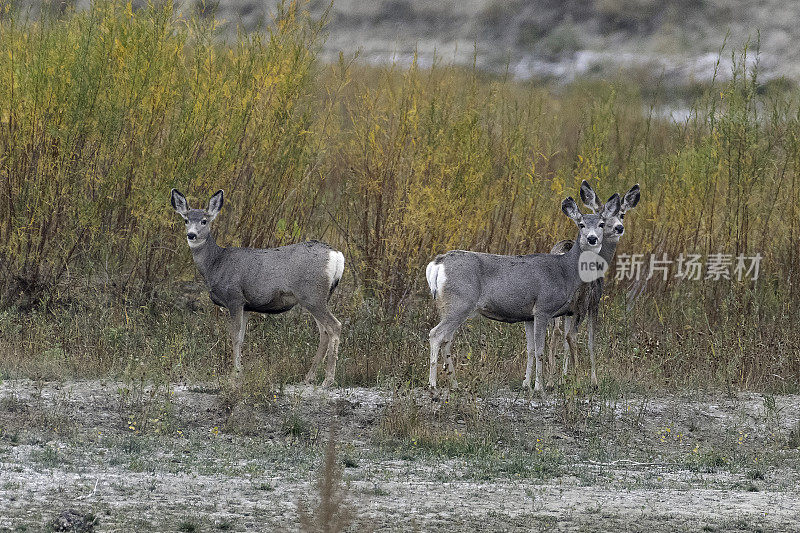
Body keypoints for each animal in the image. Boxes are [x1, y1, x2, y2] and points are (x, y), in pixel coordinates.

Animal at [169, 190, 344, 386]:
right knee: (324, 332)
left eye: (204, 221)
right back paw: (309, 377)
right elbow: (241, 338)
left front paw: (234, 374)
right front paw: (240, 371)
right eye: (186, 220)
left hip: (312, 295)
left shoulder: (234, 297)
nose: (191, 235)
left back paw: (328, 380)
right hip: (318, 297)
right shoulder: (246, 306)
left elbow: (234, 336)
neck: (216, 264)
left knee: (334, 326)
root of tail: (336, 255)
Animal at [428, 193, 620, 392]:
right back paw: (433, 384)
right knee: (435, 334)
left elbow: (530, 349)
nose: (592, 239)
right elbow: (540, 350)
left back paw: (454, 384)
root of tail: (437, 263)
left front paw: (527, 383)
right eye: (581, 224)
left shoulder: (528, 316)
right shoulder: (543, 308)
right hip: (460, 303)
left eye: (601, 224)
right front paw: (539, 386)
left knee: (446, 340)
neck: (564, 271)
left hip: (450, 307)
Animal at [548, 181, 640, 384]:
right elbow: (591, 341)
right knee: (571, 335)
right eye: (604, 217)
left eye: (622, 214)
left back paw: (547, 380)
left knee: (556, 333)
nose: (619, 228)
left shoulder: (568, 311)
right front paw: (593, 381)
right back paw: (578, 380)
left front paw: (561, 378)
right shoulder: (593, 302)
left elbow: (563, 341)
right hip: (582, 302)